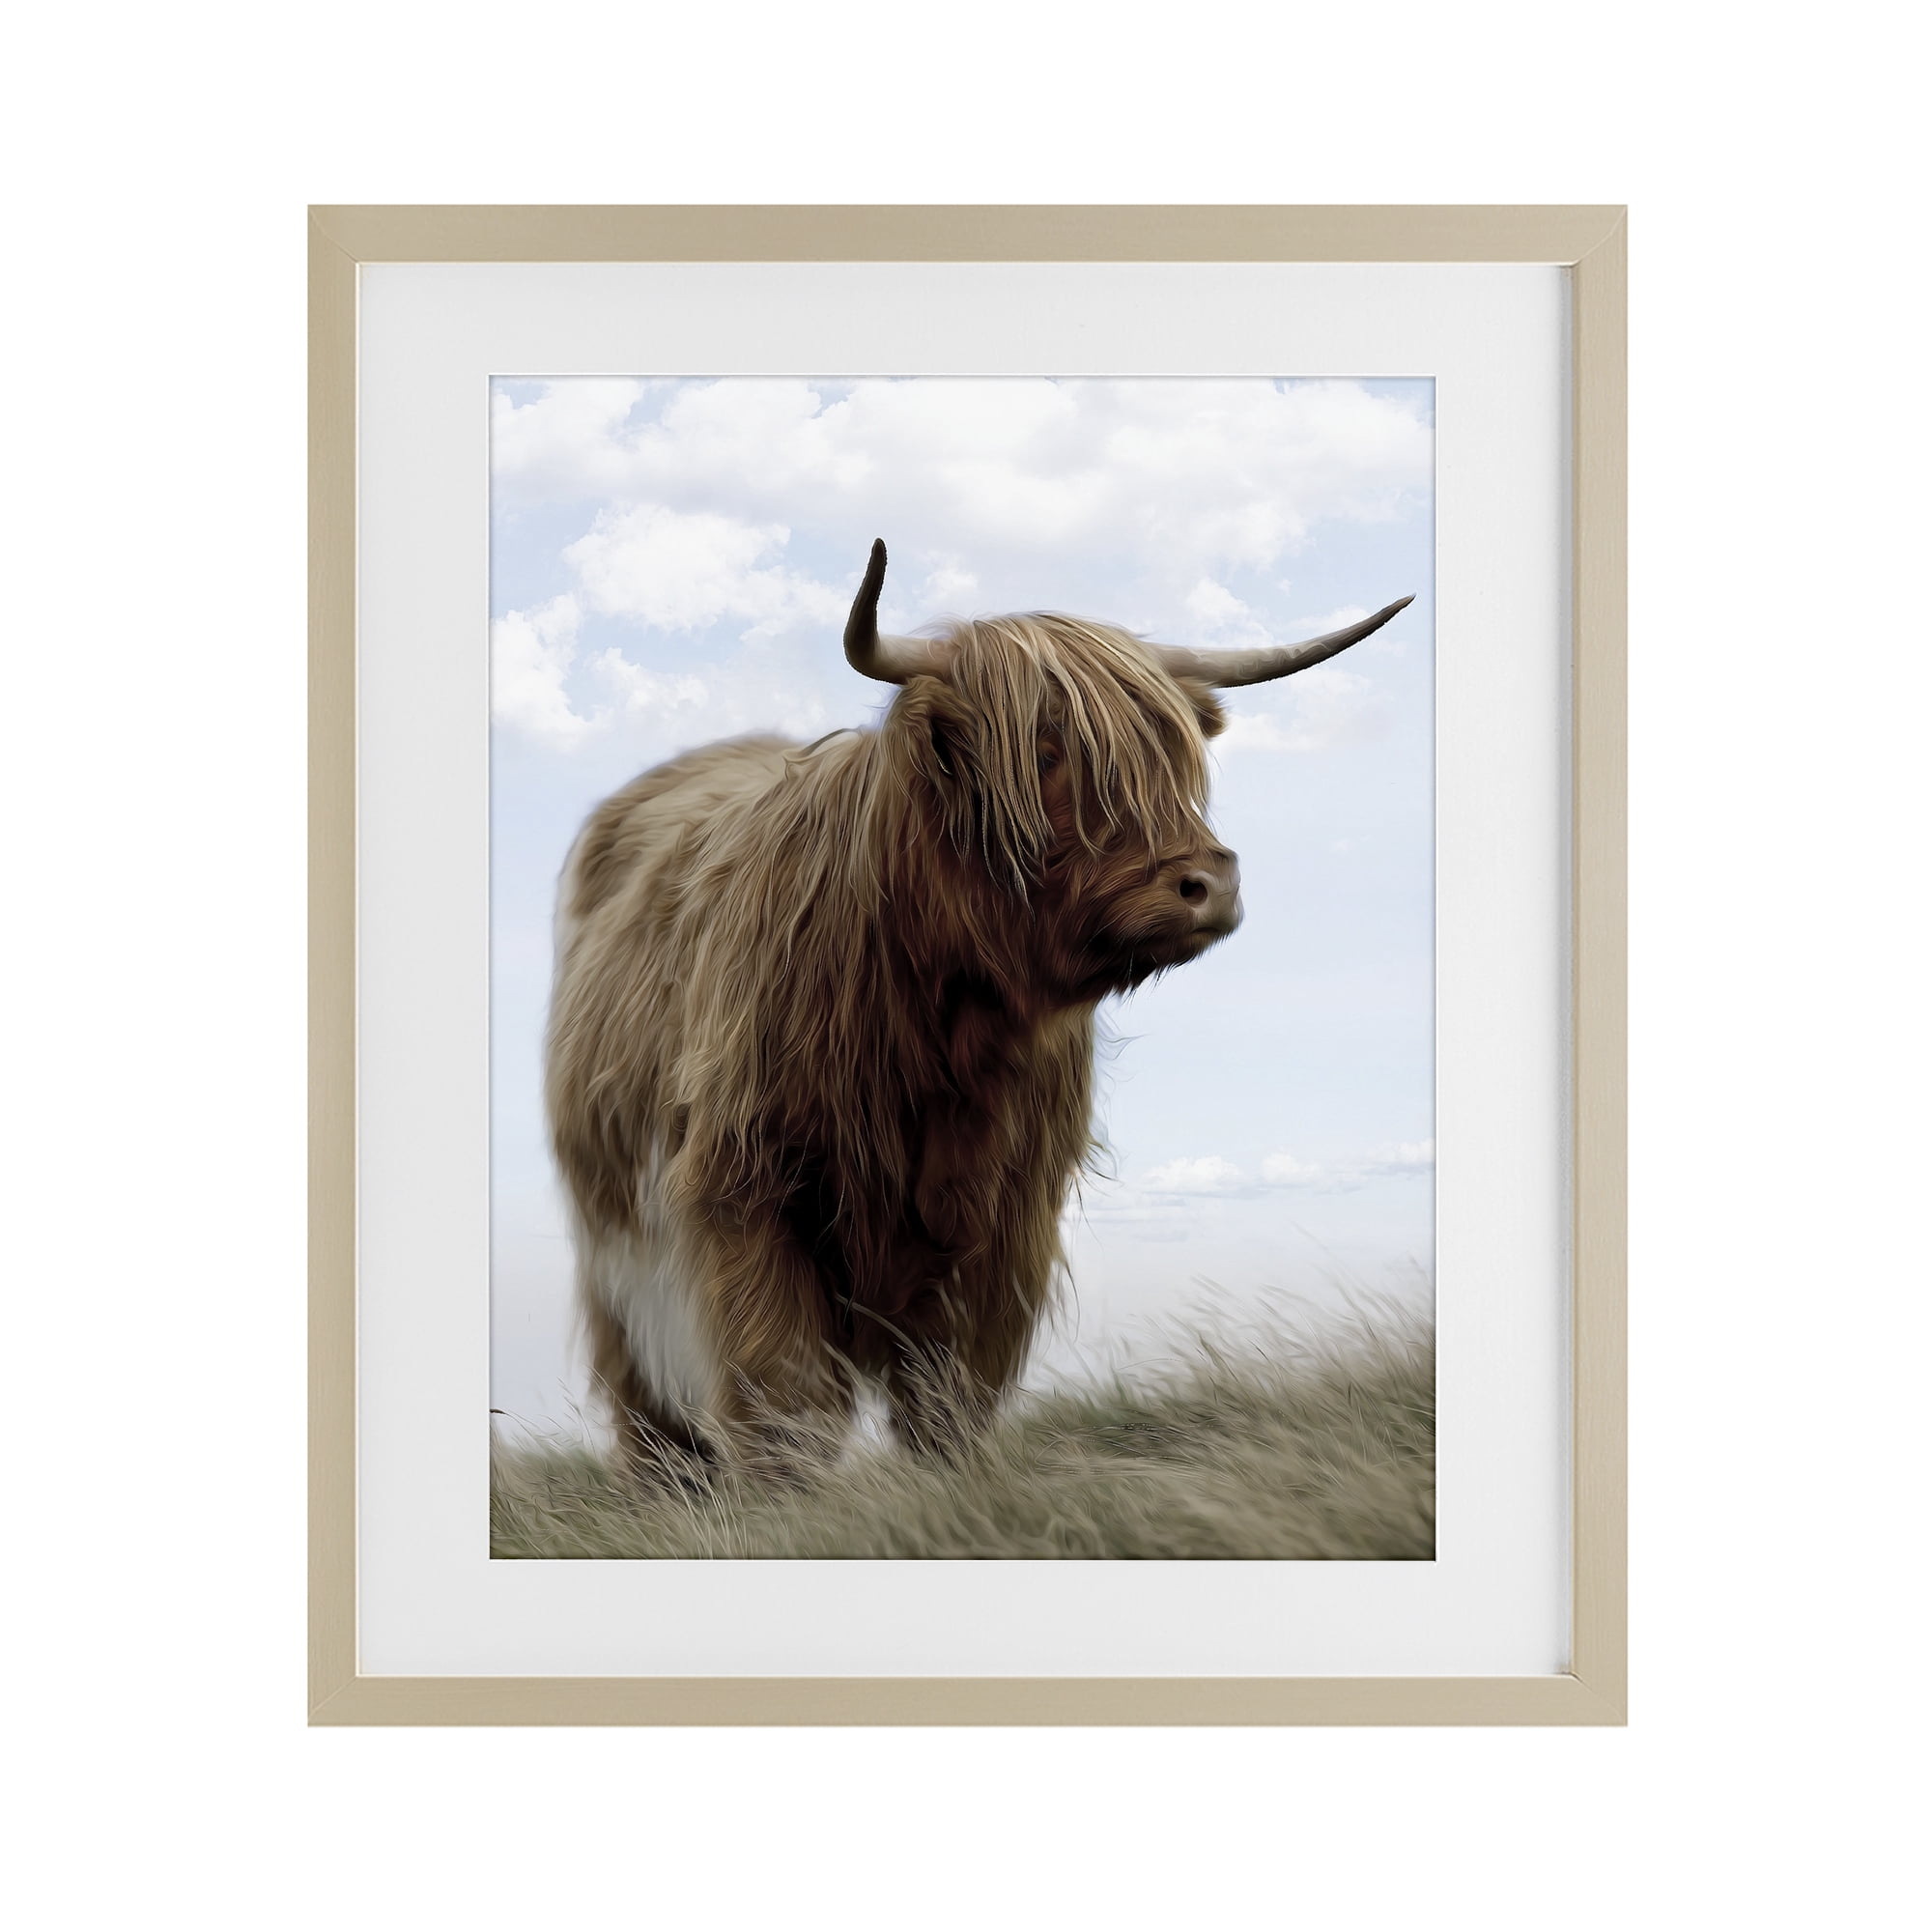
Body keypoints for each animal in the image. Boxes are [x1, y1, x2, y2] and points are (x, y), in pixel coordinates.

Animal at [545, 540, 1410, 1472]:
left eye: (1172, 756)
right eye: (1045, 749)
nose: (1210, 883)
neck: (943, 1027)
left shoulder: (1005, 1222)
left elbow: (950, 1395)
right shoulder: (746, 1187)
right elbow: (782, 1394)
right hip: (617, 1254)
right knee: (650, 1409)